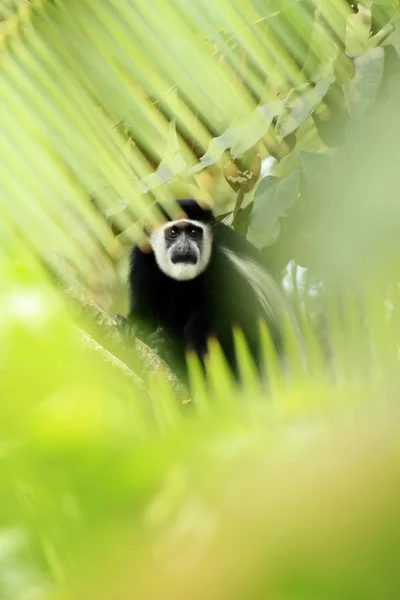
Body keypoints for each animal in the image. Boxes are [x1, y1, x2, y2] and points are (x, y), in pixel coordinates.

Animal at [114, 199, 298, 382]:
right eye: (173, 232)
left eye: (194, 232)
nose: (184, 248)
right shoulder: (144, 255)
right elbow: (145, 309)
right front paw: (131, 326)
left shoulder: (225, 270)